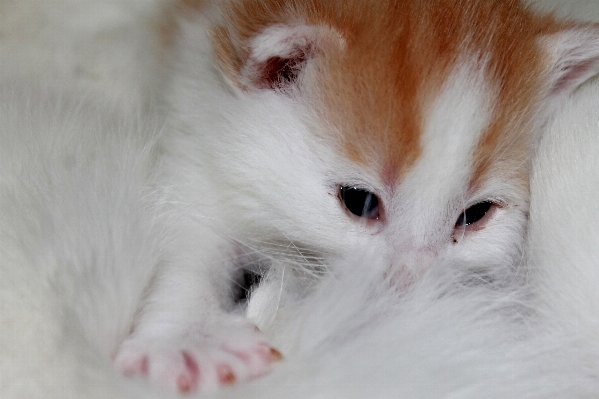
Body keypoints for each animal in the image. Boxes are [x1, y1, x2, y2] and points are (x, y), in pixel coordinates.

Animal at [3, 0, 599, 399]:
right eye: (358, 202)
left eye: (475, 216)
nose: (405, 289)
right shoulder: (198, 132)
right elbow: (191, 243)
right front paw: (179, 339)